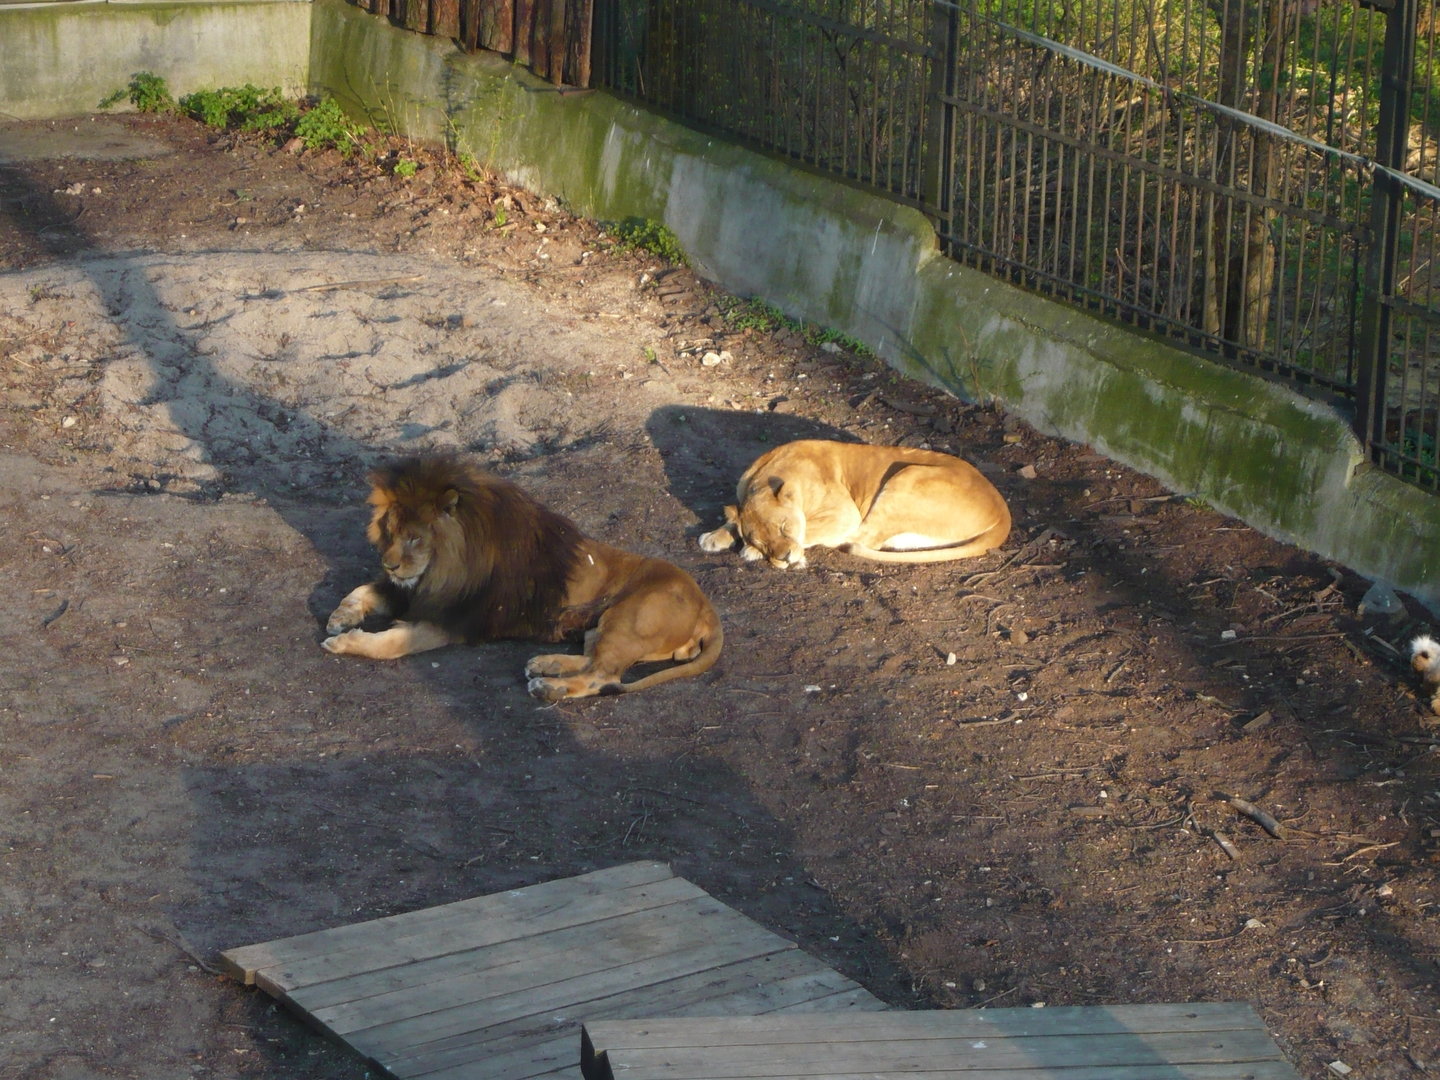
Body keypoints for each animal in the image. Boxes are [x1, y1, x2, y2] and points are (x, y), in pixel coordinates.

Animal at [322, 455, 723, 701]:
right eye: (389, 531)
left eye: (415, 538)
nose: (388, 565)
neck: (443, 569)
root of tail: (707, 607)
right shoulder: (414, 592)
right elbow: (362, 590)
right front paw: (341, 616)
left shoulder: (454, 620)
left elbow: (390, 644)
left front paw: (346, 642)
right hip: (603, 625)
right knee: (592, 659)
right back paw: (545, 663)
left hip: (627, 618)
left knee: (604, 676)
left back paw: (548, 687)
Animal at [698, 439, 1011, 570]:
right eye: (763, 540)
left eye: (785, 527)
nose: (784, 557)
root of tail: (1003, 513)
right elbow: (734, 517)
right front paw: (715, 536)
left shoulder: (845, 514)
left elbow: (809, 533)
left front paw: (751, 550)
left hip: (906, 477)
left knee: (863, 540)